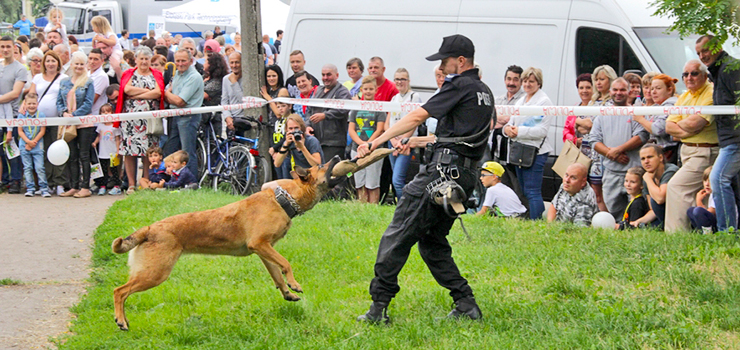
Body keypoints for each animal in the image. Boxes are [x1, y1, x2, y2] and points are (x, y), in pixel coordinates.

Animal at [110, 156, 344, 330]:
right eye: (321, 166)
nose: (337, 156)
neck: (283, 199)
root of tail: (149, 228)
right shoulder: (260, 244)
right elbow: (286, 264)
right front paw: (294, 284)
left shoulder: (264, 250)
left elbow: (277, 275)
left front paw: (287, 292)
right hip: (155, 273)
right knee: (119, 291)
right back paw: (121, 320)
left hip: (150, 273)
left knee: (123, 291)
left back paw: (123, 319)